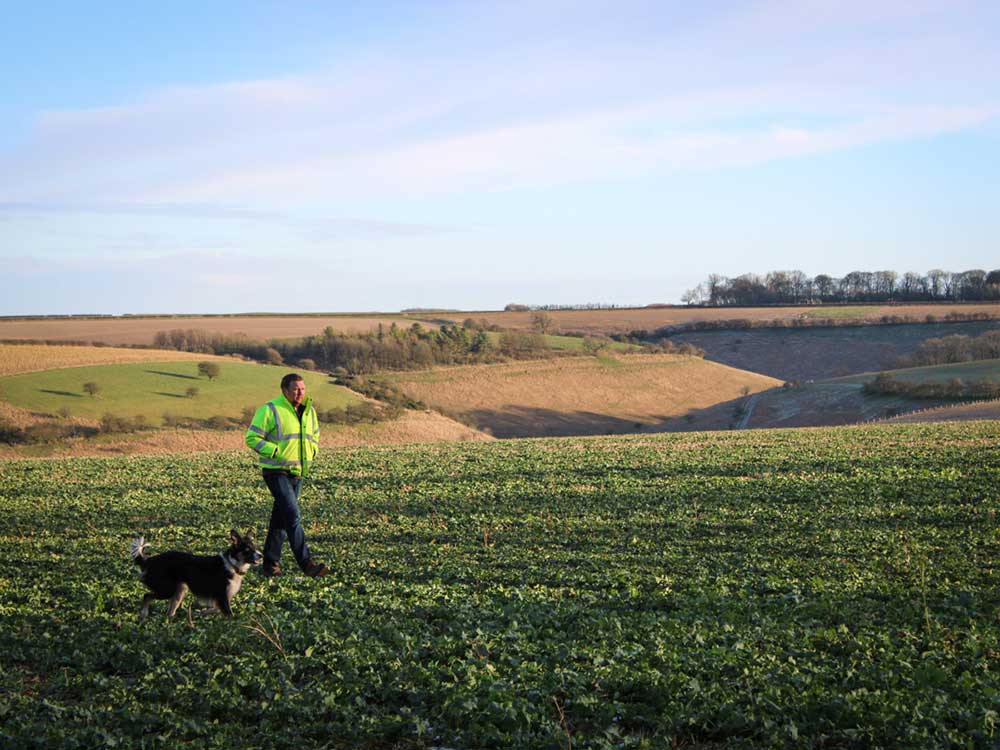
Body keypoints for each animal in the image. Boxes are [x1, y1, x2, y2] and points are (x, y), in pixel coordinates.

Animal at [129, 532, 262, 620]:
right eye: (247, 550)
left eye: (254, 547)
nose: (261, 555)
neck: (232, 564)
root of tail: (150, 560)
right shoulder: (221, 596)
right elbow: (229, 614)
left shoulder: (221, 598)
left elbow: (216, 609)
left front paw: (203, 613)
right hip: (167, 590)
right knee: (146, 596)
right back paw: (143, 614)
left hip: (179, 590)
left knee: (169, 610)